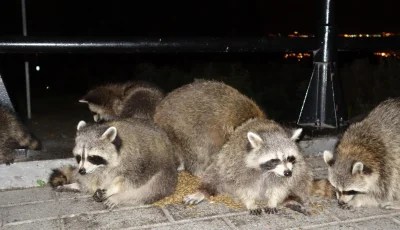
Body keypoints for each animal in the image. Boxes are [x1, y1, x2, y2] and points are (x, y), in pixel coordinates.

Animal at [48, 117, 177, 209]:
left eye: (92, 157)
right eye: (79, 157)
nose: (81, 171)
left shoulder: (137, 160)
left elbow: (132, 179)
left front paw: (113, 190)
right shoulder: (93, 168)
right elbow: (94, 177)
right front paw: (84, 184)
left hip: (165, 174)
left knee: (150, 189)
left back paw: (119, 197)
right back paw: (78, 185)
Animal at [183, 117, 314, 215]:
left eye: (289, 158)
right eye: (275, 160)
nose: (288, 173)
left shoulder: (287, 170)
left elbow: (280, 186)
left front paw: (273, 200)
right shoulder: (238, 164)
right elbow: (243, 186)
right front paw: (250, 202)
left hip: (300, 167)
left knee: (302, 177)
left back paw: (291, 199)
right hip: (223, 160)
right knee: (216, 173)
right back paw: (203, 191)